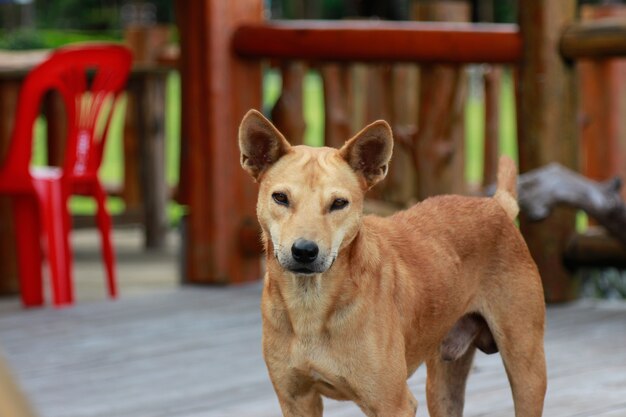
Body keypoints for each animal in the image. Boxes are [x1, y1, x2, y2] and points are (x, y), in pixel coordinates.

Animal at [239, 109, 544, 414]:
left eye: (339, 203)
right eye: (280, 198)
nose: (304, 251)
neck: (310, 307)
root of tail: (495, 205)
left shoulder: (393, 404)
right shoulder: (296, 400)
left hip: (526, 371)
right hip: (442, 385)